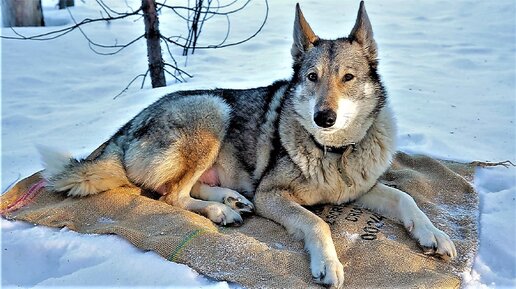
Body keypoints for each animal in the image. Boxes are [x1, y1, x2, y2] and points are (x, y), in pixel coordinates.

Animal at [42, 1, 458, 286]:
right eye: (312, 77)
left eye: (348, 78)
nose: (324, 117)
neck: (334, 152)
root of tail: (125, 130)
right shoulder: (273, 194)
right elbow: (317, 223)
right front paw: (328, 264)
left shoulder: (360, 189)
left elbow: (407, 199)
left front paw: (434, 236)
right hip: (214, 110)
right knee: (171, 196)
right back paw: (221, 211)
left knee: (187, 189)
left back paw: (231, 199)